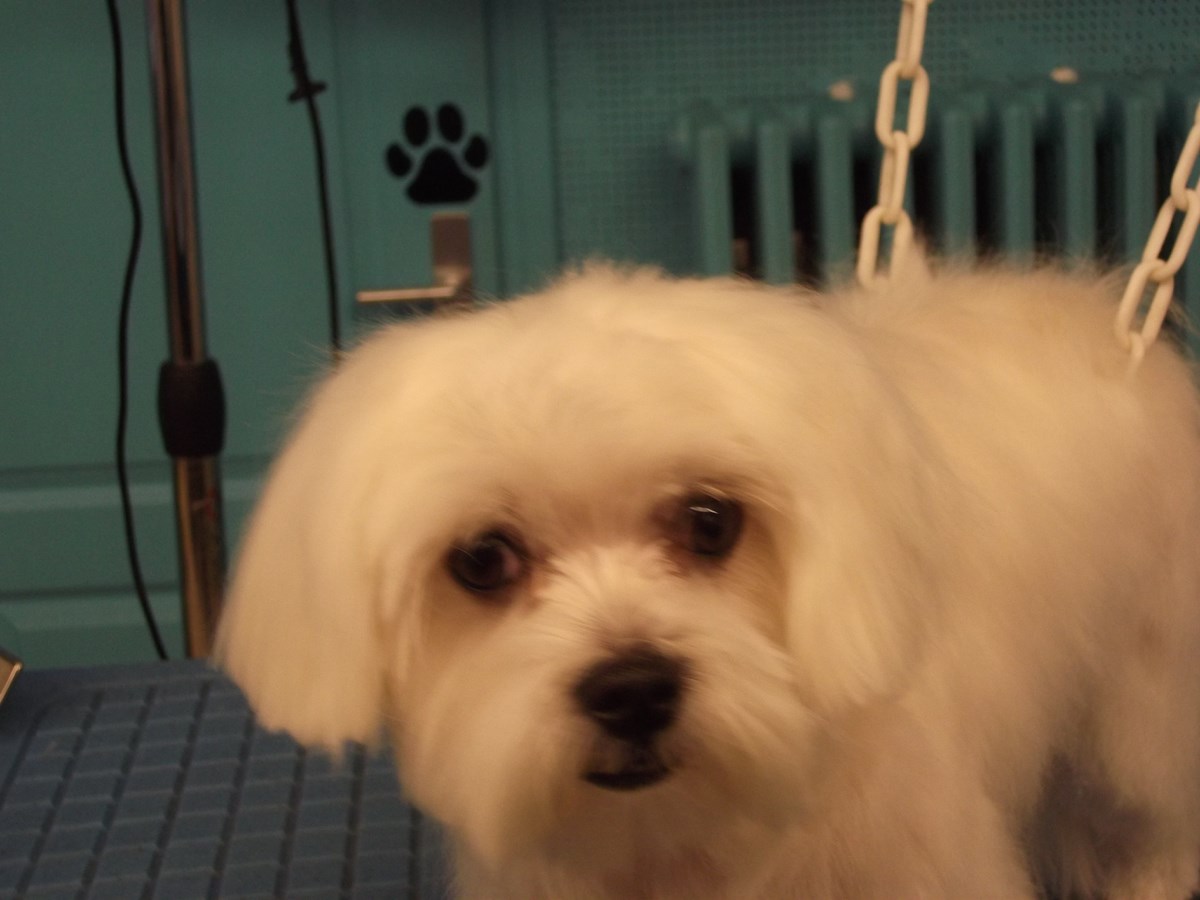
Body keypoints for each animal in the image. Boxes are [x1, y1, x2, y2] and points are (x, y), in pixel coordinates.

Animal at [215, 260, 1200, 899]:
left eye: (709, 521)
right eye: (484, 559)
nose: (631, 689)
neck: (681, 849)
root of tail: (1104, 316)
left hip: (1144, 714)